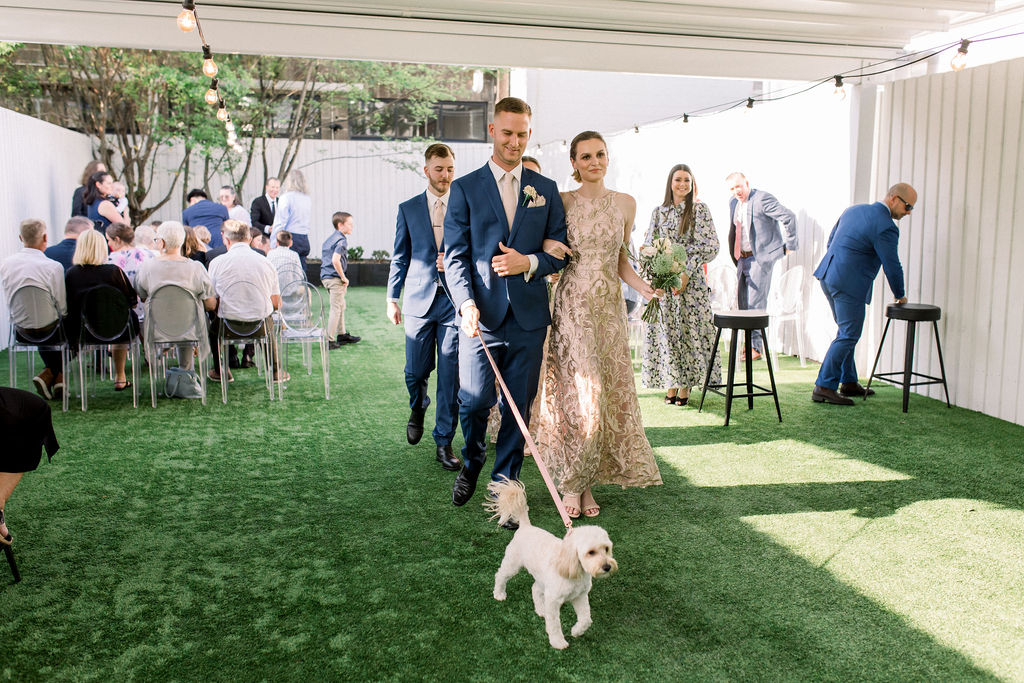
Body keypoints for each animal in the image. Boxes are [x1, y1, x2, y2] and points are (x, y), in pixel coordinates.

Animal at [485, 479, 614, 651]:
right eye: (590, 552)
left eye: (606, 549)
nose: (607, 567)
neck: (573, 569)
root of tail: (525, 526)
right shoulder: (553, 600)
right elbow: (554, 625)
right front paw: (558, 642)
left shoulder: (579, 596)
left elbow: (586, 619)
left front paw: (576, 631)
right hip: (513, 563)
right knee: (500, 575)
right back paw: (499, 594)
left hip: (542, 580)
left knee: (534, 589)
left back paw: (540, 610)